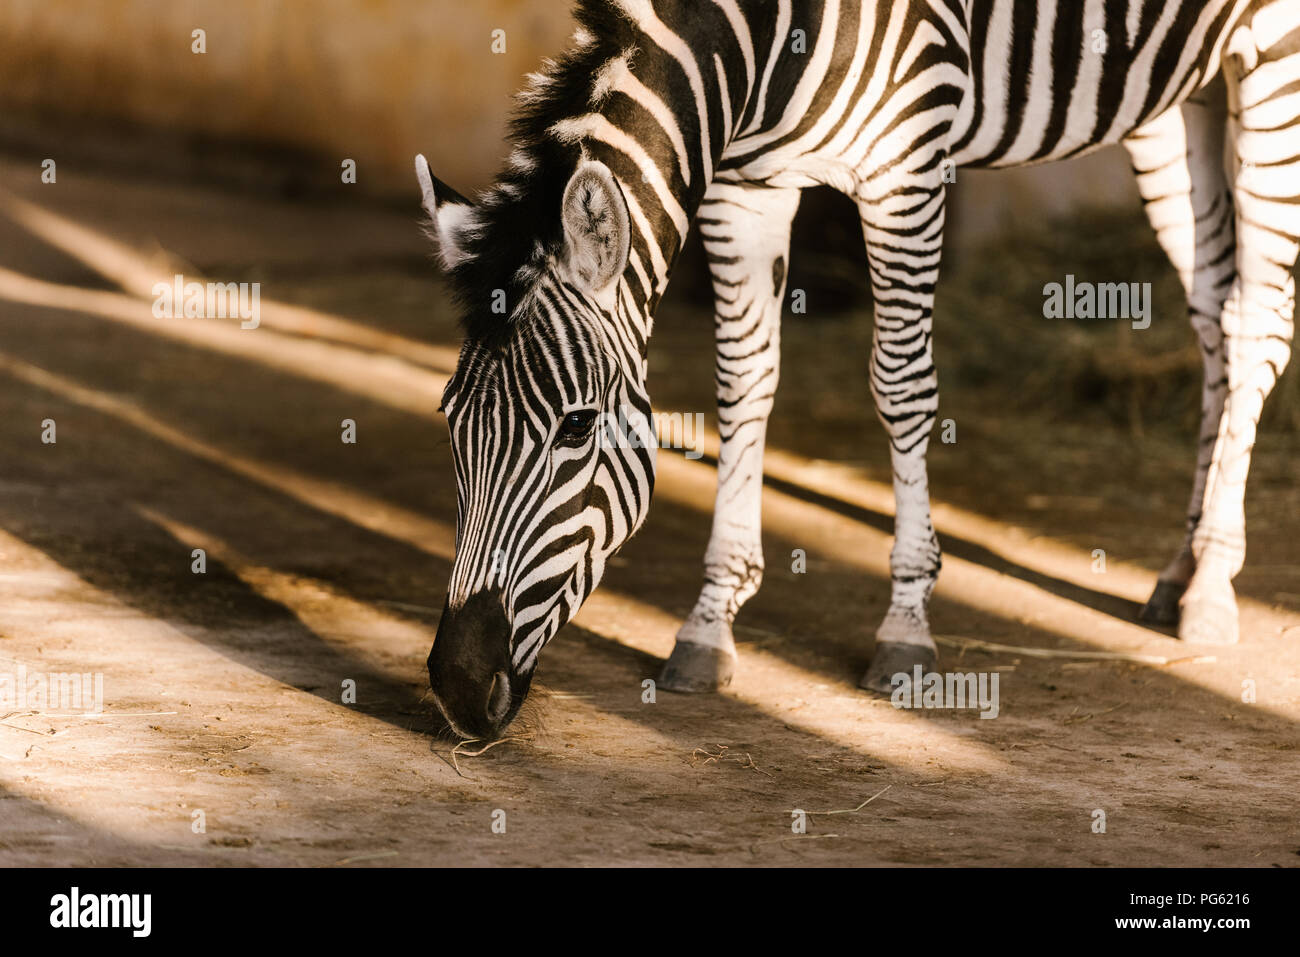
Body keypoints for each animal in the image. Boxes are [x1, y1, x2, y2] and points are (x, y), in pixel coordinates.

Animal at [418, 0, 1300, 739]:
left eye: (576, 427)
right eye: (449, 420)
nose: (458, 686)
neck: (771, 38)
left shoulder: (906, 164)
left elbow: (900, 385)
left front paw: (906, 625)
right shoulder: (744, 186)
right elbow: (744, 383)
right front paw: (710, 621)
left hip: (1270, 64)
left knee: (1257, 321)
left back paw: (1212, 583)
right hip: (1180, 88)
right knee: (1215, 313)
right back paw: (1181, 568)